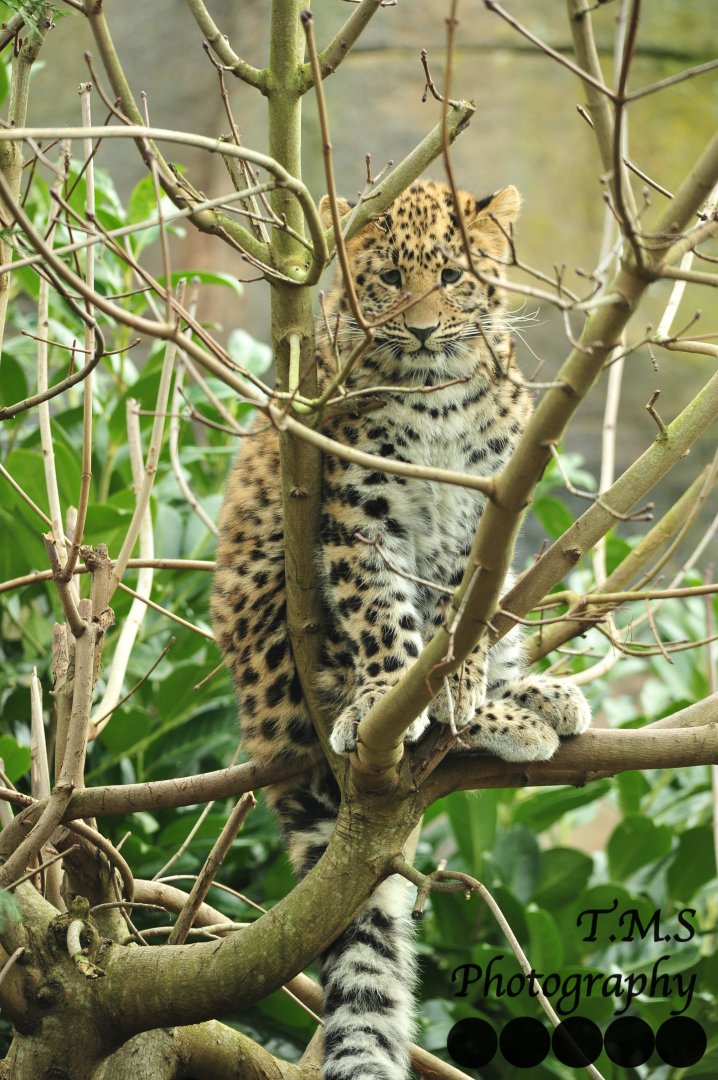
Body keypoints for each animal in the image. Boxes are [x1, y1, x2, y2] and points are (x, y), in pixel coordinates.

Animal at [212, 179, 591, 1080]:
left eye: (451, 276)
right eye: (386, 278)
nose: (419, 326)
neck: (438, 389)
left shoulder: (483, 515)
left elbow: (461, 620)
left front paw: (461, 688)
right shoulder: (360, 510)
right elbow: (385, 612)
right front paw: (399, 688)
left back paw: (532, 699)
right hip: (276, 598)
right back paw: (436, 716)